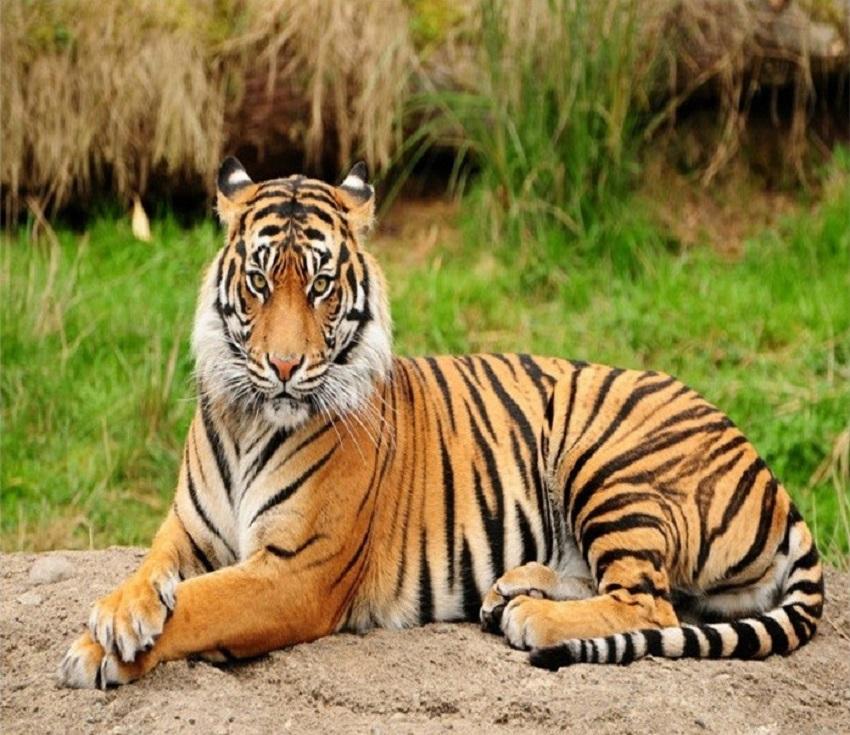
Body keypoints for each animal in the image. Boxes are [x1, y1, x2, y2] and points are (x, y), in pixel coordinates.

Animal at [59, 158, 824, 688]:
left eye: (320, 285)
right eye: (258, 281)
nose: (282, 365)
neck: (251, 419)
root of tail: (771, 476)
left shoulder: (295, 571)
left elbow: (201, 604)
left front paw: (96, 649)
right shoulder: (188, 529)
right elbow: (151, 570)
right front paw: (120, 613)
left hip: (607, 457)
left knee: (651, 604)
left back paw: (531, 615)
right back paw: (515, 585)